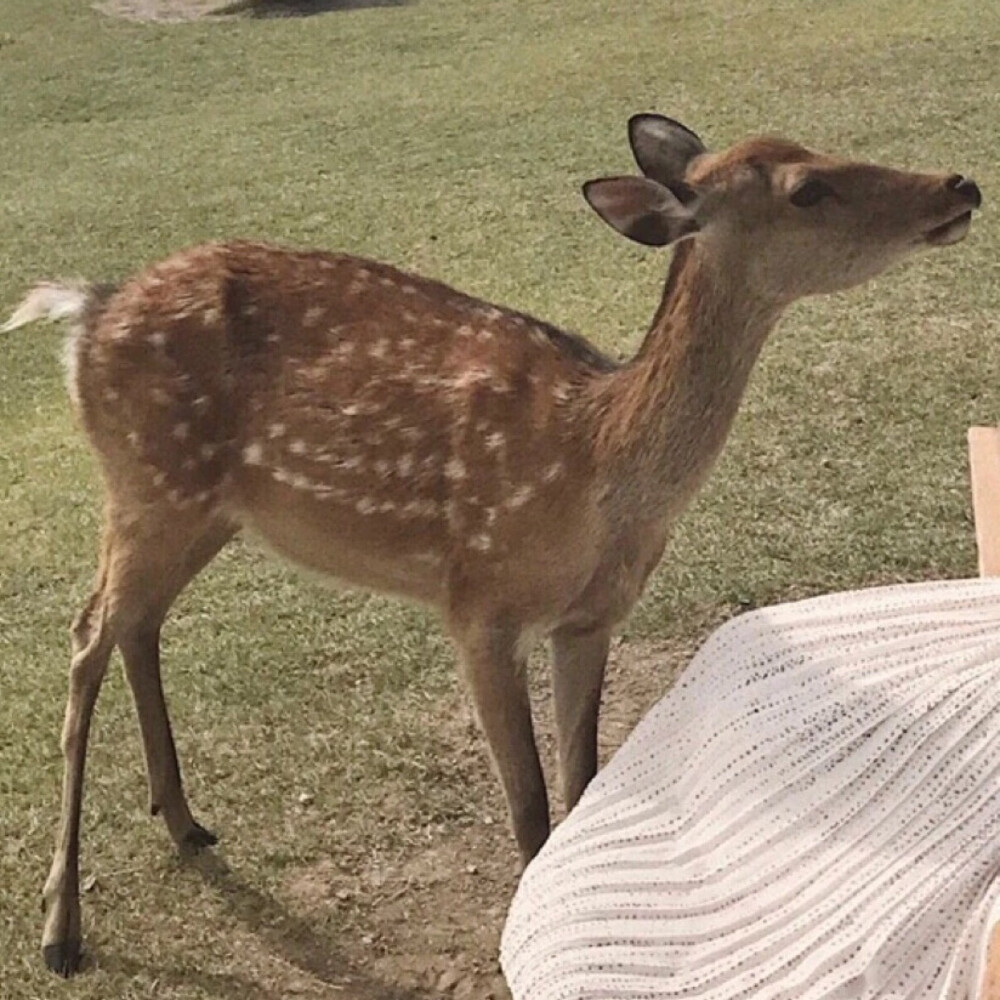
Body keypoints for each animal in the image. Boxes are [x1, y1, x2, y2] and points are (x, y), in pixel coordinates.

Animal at [3, 111, 980, 976]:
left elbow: (584, 783)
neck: (596, 476)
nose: (960, 183)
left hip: (202, 507)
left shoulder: (590, 620)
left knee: (136, 626)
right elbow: (532, 810)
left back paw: (183, 820)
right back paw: (61, 928)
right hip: (147, 484)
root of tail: (85, 314)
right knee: (85, 636)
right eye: (807, 188)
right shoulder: (477, 603)